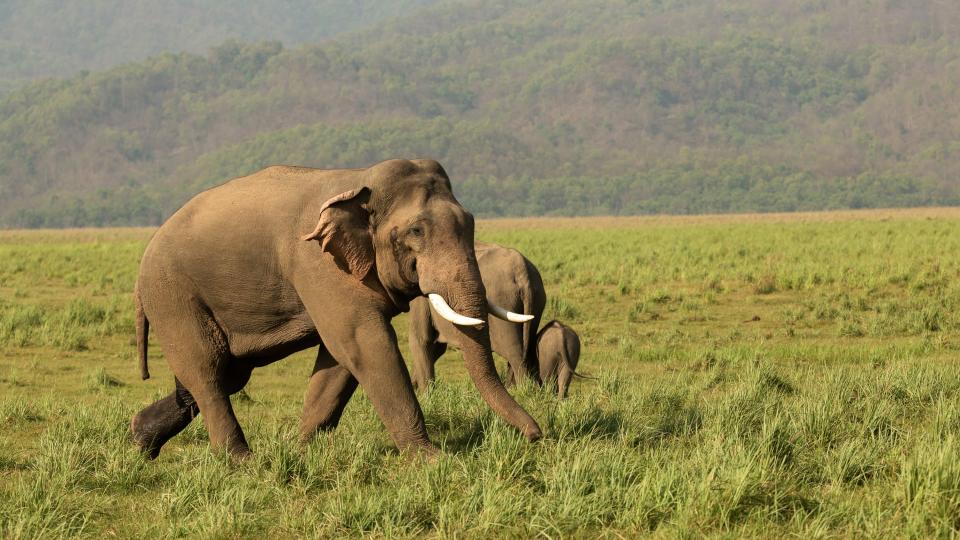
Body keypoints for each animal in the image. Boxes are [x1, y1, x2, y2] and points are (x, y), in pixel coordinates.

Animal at [406, 243, 548, 390]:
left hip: (504, 302)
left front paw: (425, 393)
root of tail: (523, 272)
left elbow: (421, 340)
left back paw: (523, 389)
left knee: (515, 354)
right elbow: (435, 347)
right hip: (537, 299)